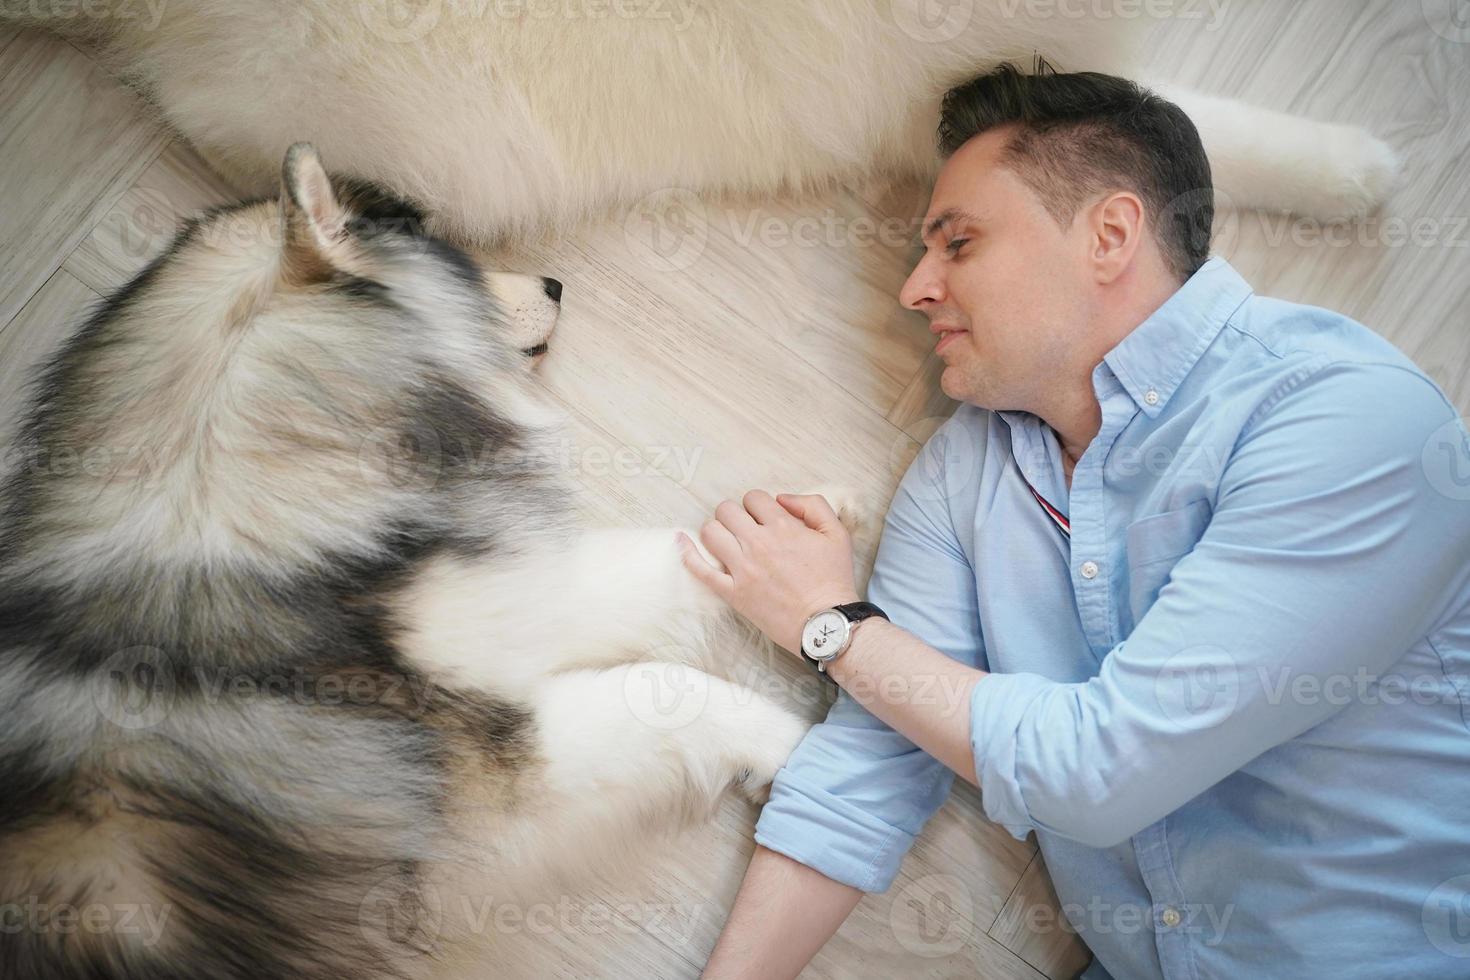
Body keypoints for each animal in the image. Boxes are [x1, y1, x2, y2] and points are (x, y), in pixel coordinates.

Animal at [0, 145, 817, 980]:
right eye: (458, 269)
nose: (556, 285)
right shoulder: (486, 804)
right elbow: (668, 688)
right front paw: (799, 756)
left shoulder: (490, 593)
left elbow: (655, 565)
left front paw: (806, 525)